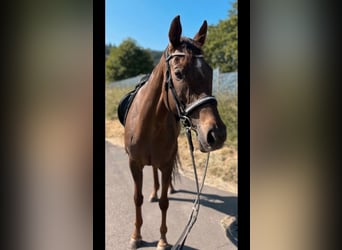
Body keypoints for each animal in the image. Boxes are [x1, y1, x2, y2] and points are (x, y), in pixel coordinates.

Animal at [123, 16, 227, 250]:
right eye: (178, 73)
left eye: (210, 72)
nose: (216, 134)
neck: (148, 123)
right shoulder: (134, 163)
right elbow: (136, 198)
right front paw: (136, 236)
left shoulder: (167, 162)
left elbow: (164, 203)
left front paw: (163, 240)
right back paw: (153, 191)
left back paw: (166, 188)